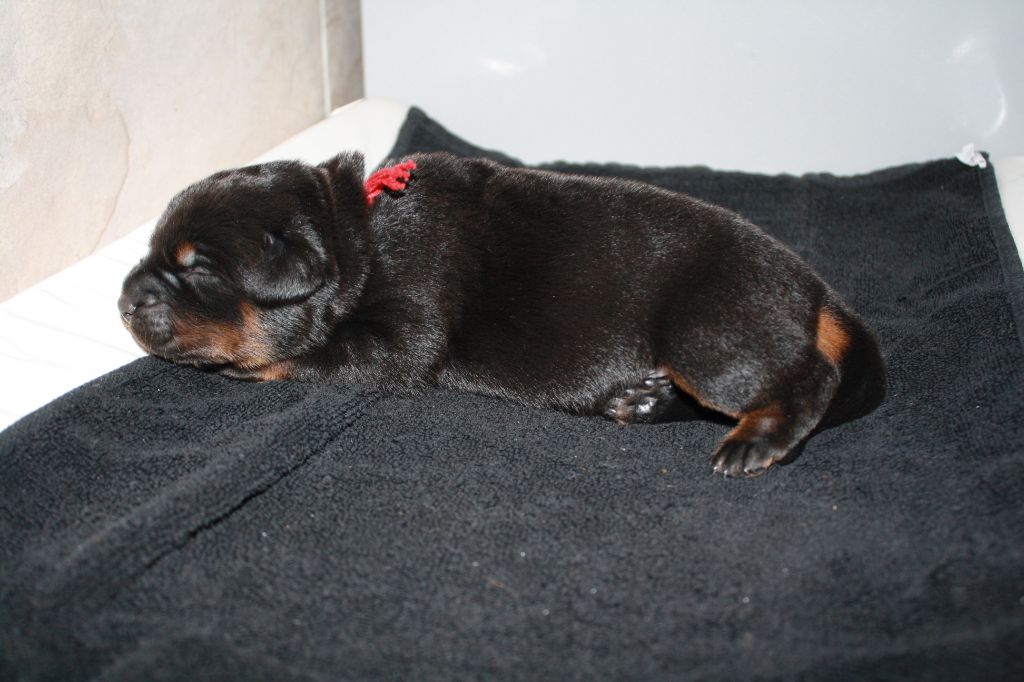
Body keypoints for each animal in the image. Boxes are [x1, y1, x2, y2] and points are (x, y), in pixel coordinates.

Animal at [119, 151, 885, 477]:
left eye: (199, 267)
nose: (124, 301)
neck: (352, 233)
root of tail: (813, 288)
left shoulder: (404, 334)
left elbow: (309, 352)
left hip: (708, 330)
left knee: (807, 380)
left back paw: (758, 440)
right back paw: (642, 400)